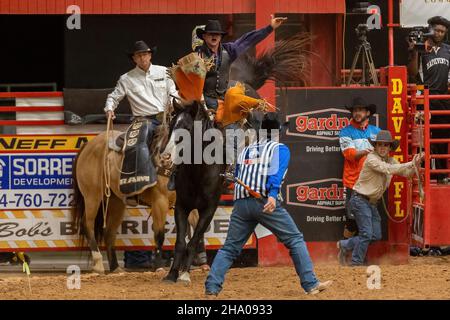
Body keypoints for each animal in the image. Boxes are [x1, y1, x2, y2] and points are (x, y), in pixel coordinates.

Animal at [71, 129, 175, 274]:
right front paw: (159, 266)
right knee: (87, 224)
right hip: (92, 196)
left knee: (109, 232)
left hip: (116, 202)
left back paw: (115, 267)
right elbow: (159, 235)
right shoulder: (160, 202)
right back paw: (98, 264)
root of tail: (88, 145)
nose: (165, 159)